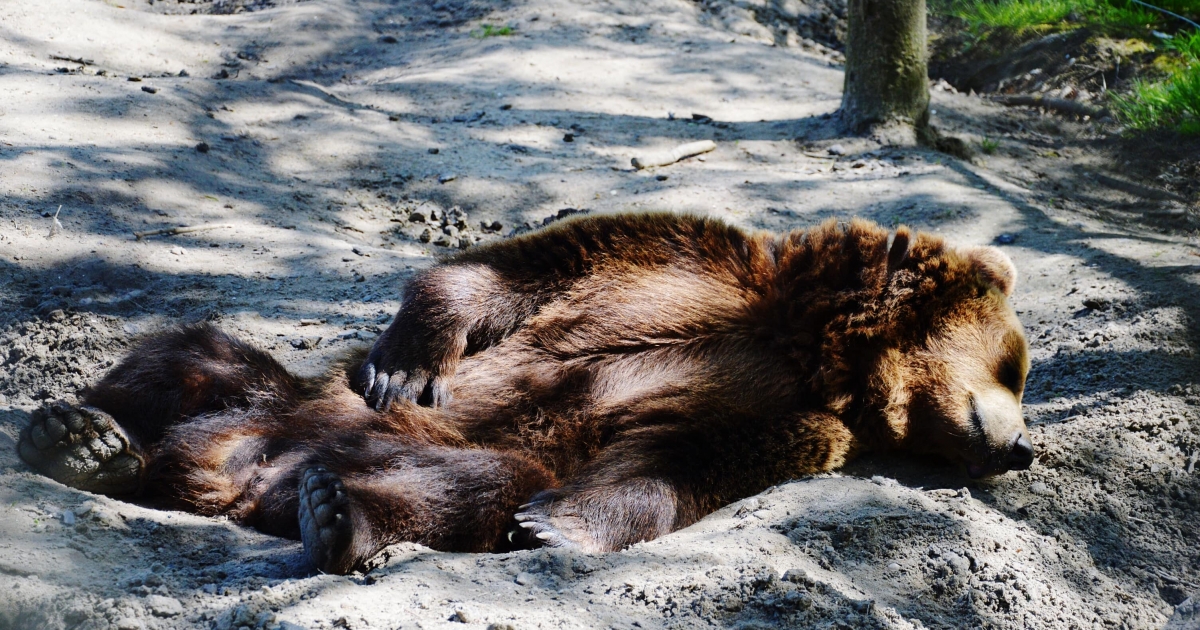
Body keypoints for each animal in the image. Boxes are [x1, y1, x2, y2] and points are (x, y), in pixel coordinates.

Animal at [16, 212, 1032, 573]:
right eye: (1016, 364)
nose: (1023, 444)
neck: (812, 344)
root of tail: (227, 475)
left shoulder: (779, 414)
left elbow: (677, 459)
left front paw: (558, 527)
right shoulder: (676, 265)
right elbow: (510, 273)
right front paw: (406, 360)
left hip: (384, 447)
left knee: (478, 482)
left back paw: (336, 516)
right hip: (294, 396)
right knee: (190, 355)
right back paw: (83, 437)